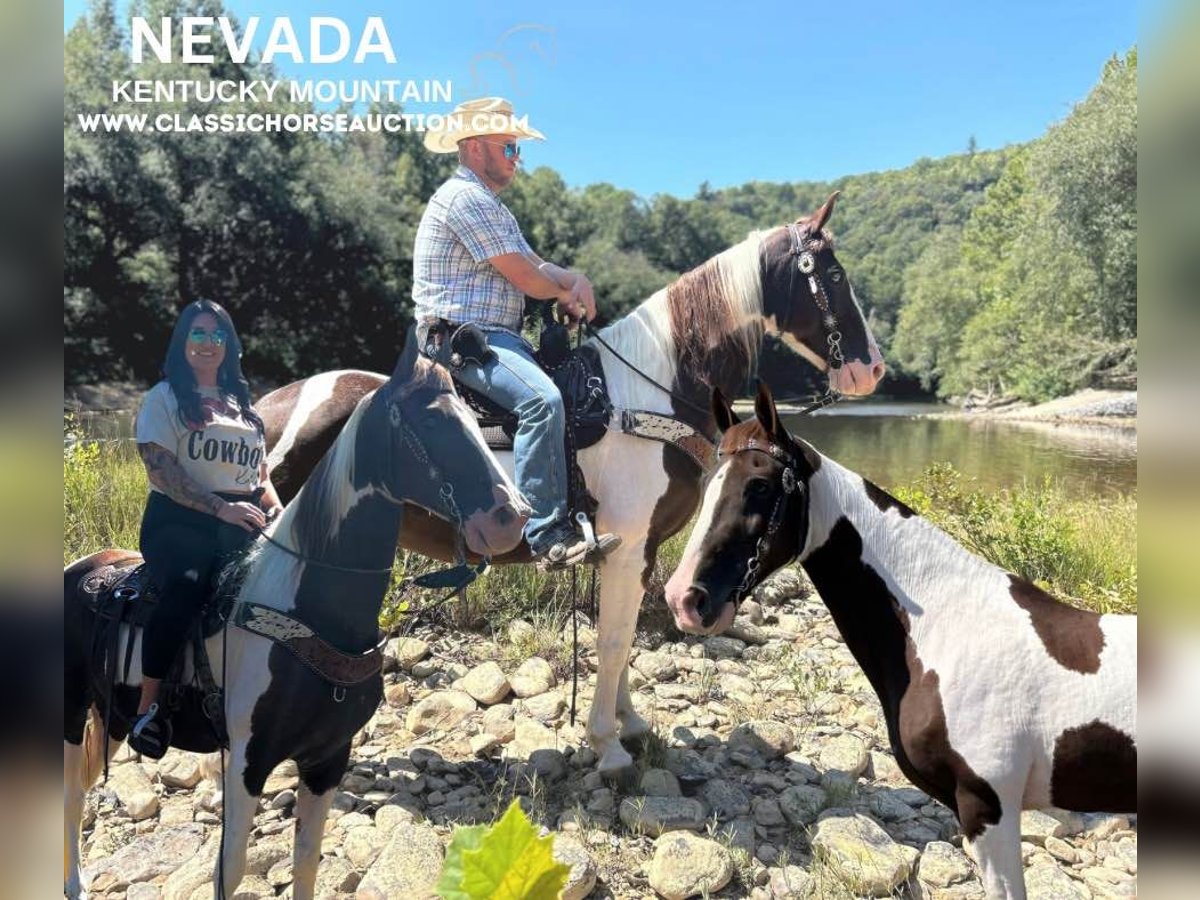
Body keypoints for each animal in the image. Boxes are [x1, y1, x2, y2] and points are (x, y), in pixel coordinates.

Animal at [64, 340, 525, 900]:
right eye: (432, 421)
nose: (512, 518)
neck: (307, 614)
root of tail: (80, 569)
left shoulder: (327, 759)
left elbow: (307, 859)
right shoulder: (248, 760)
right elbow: (231, 868)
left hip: (112, 715)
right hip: (71, 713)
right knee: (68, 797)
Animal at [258, 195, 888, 777]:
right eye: (834, 275)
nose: (873, 369)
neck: (648, 390)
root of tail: (268, 407)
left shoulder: (641, 551)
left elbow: (625, 636)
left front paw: (630, 724)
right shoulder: (627, 547)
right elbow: (611, 640)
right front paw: (608, 745)